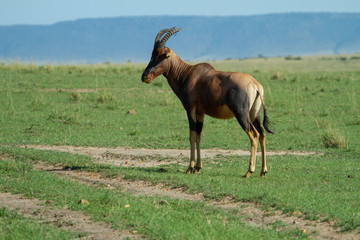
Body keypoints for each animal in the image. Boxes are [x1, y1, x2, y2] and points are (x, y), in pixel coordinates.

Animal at [141, 27, 272, 177]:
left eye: (161, 55)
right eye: (152, 54)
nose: (145, 76)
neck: (188, 73)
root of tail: (255, 85)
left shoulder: (190, 109)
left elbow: (192, 135)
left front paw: (190, 168)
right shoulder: (200, 112)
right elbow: (199, 135)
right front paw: (198, 167)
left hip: (242, 115)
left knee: (254, 135)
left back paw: (249, 171)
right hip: (254, 114)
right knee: (262, 134)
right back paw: (263, 171)